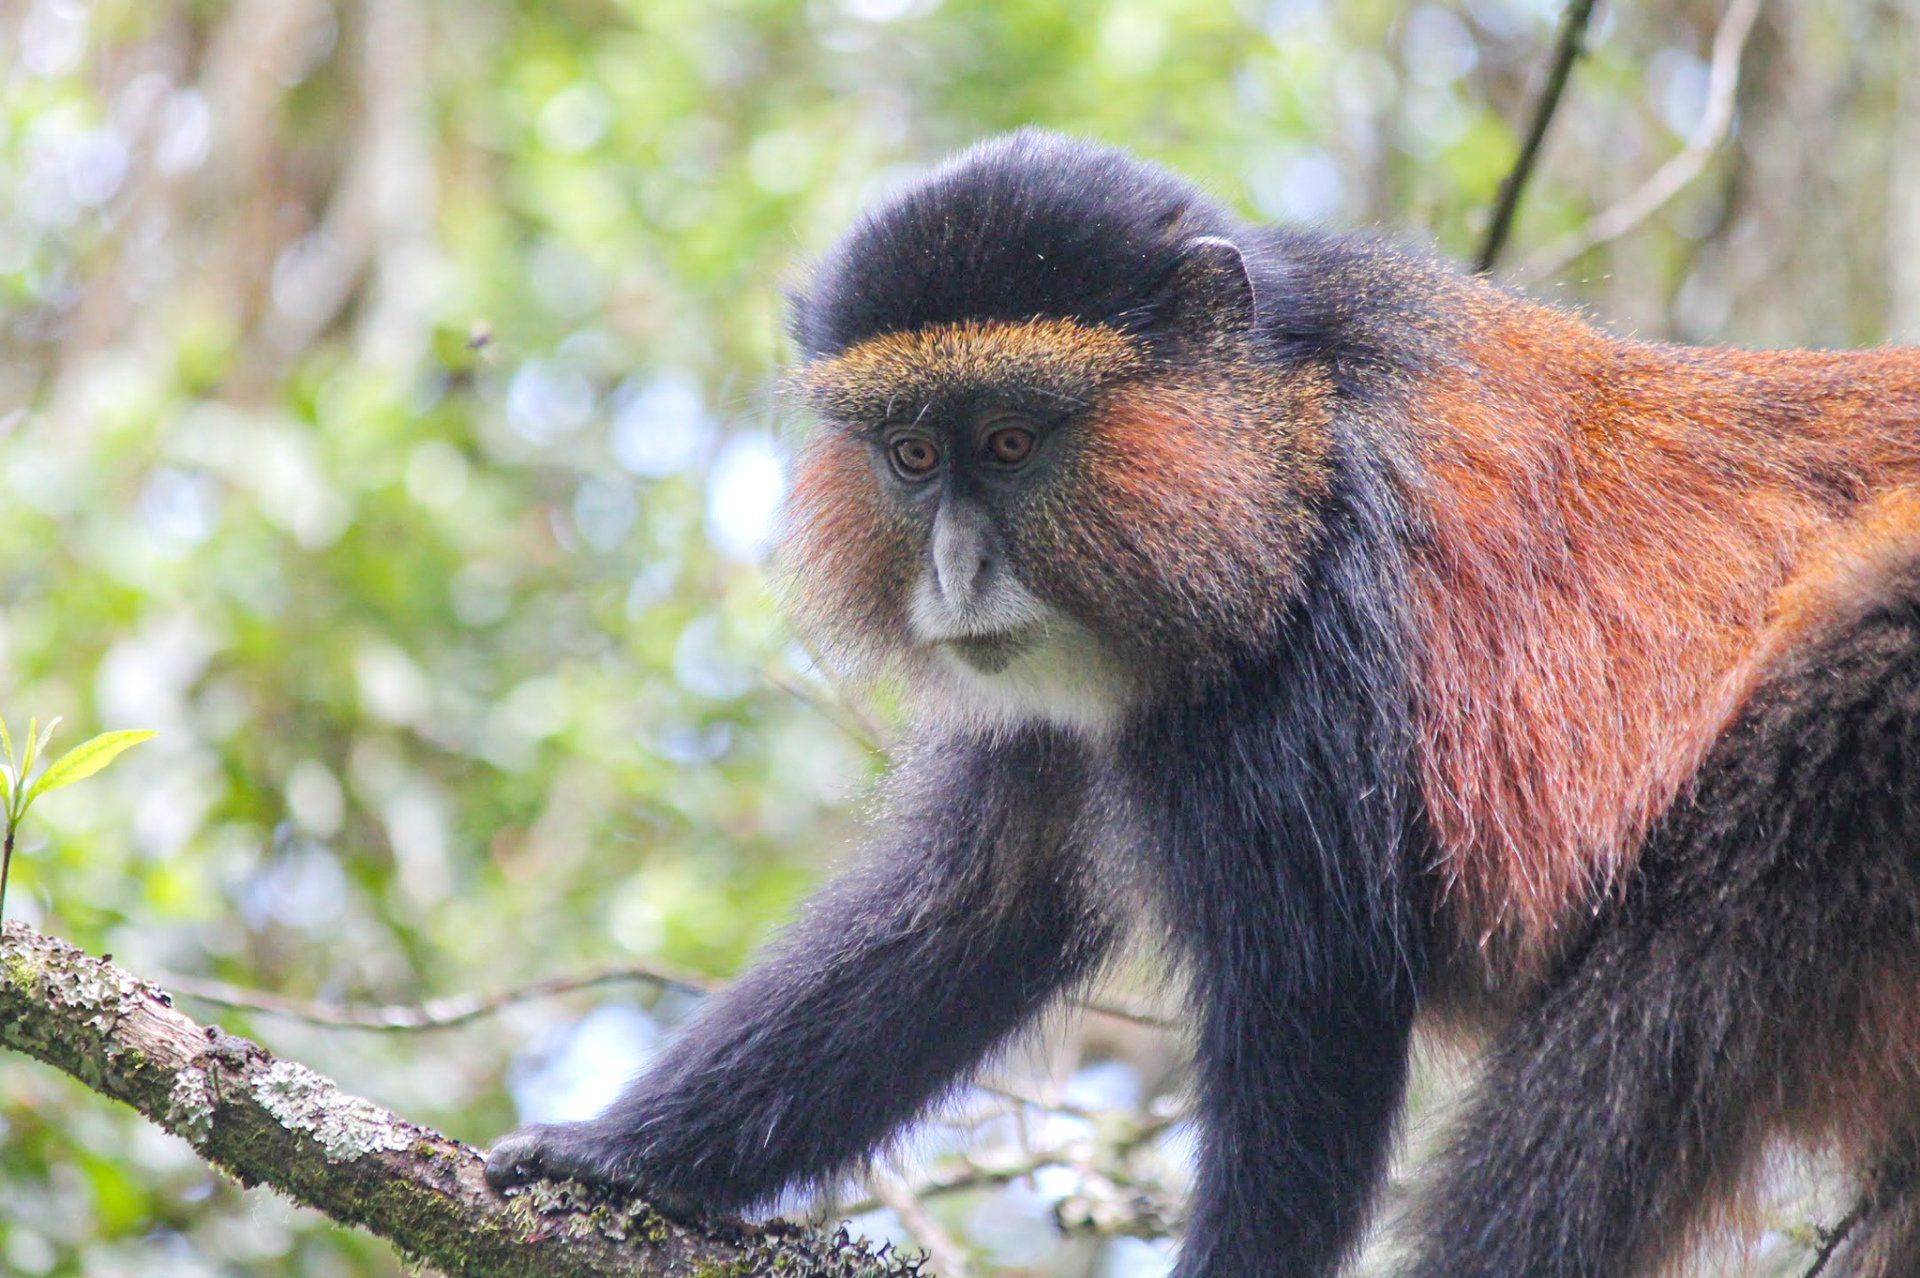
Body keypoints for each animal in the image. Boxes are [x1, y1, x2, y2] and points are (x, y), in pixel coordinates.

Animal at [485, 129, 1920, 1277]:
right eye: (912, 452)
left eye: (1012, 441)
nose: (956, 574)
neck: (1289, 431)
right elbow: (976, 903)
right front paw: (620, 1154)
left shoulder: (1316, 646)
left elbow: (1317, 1022)